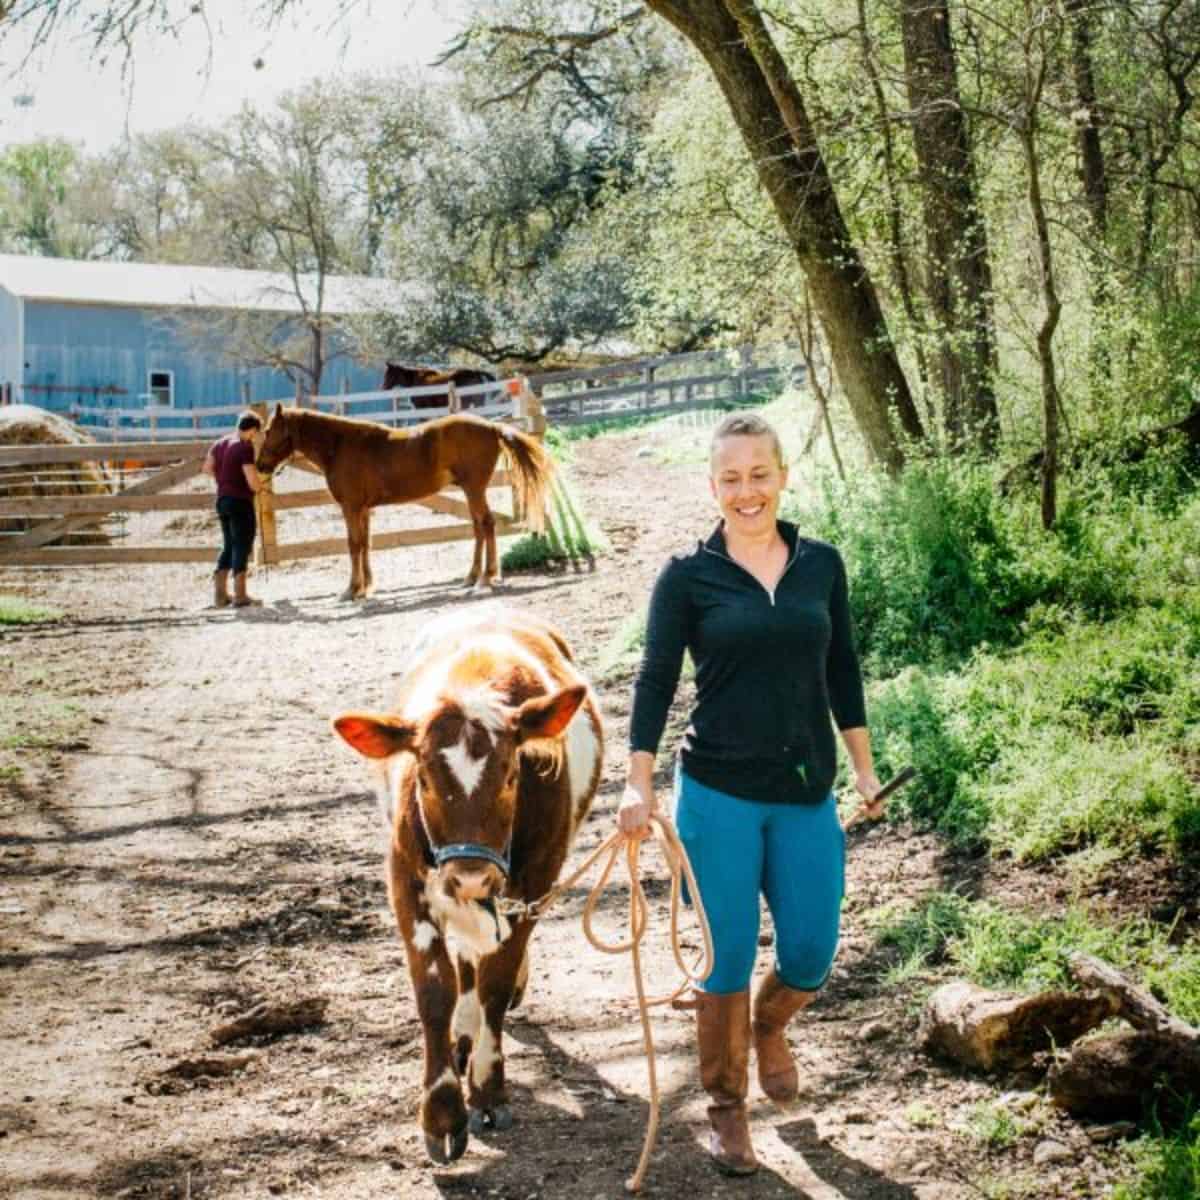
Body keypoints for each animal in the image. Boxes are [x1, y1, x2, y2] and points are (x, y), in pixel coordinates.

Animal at [255, 408, 554, 600]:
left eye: (269, 431)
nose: (259, 466)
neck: (340, 446)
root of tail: (491, 427)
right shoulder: (363, 509)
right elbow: (365, 544)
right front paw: (367, 588)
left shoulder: (351, 507)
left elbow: (354, 545)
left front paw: (352, 590)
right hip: (471, 491)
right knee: (479, 527)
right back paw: (471, 576)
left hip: (474, 489)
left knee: (487, 524)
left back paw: (486, 578)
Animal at [333, 604, 604, 1166]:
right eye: (425, 777)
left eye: (511, 774)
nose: (472, 874)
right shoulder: (406, 880)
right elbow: (435, 990)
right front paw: (440, 1112)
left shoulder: (535, 878)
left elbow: (495, 984)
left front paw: (486, 1090)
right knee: (464, 966)